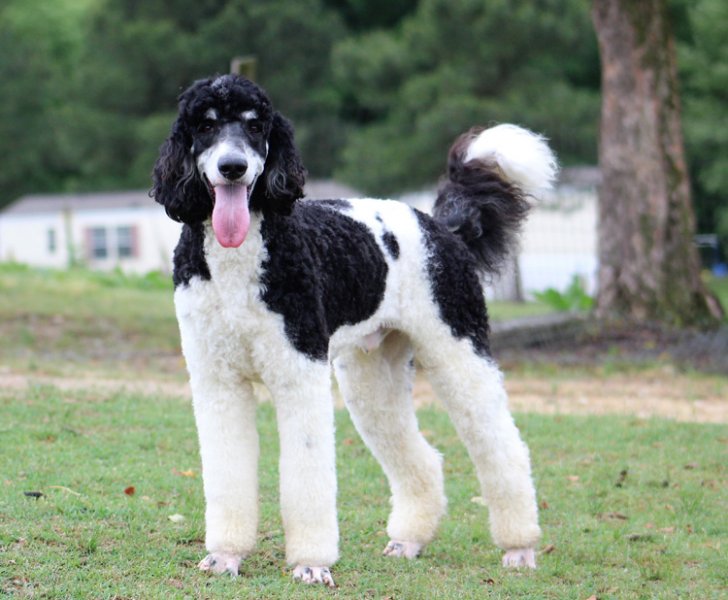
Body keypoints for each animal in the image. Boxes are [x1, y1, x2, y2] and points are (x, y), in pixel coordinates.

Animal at [151, 74, 557, 587]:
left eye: (256, 125)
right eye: (204, 125)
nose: (233, 167)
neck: (242, 257)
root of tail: (443, 229)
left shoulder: (299, 373)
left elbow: (307, 475)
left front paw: (311, 564)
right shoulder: (217, 381)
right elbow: (227, 473)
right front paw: (225, 556)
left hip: (459, 349)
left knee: (504, 449)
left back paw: (520, 547)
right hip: (372, 376)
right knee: (422, 457)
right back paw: (409, 540)